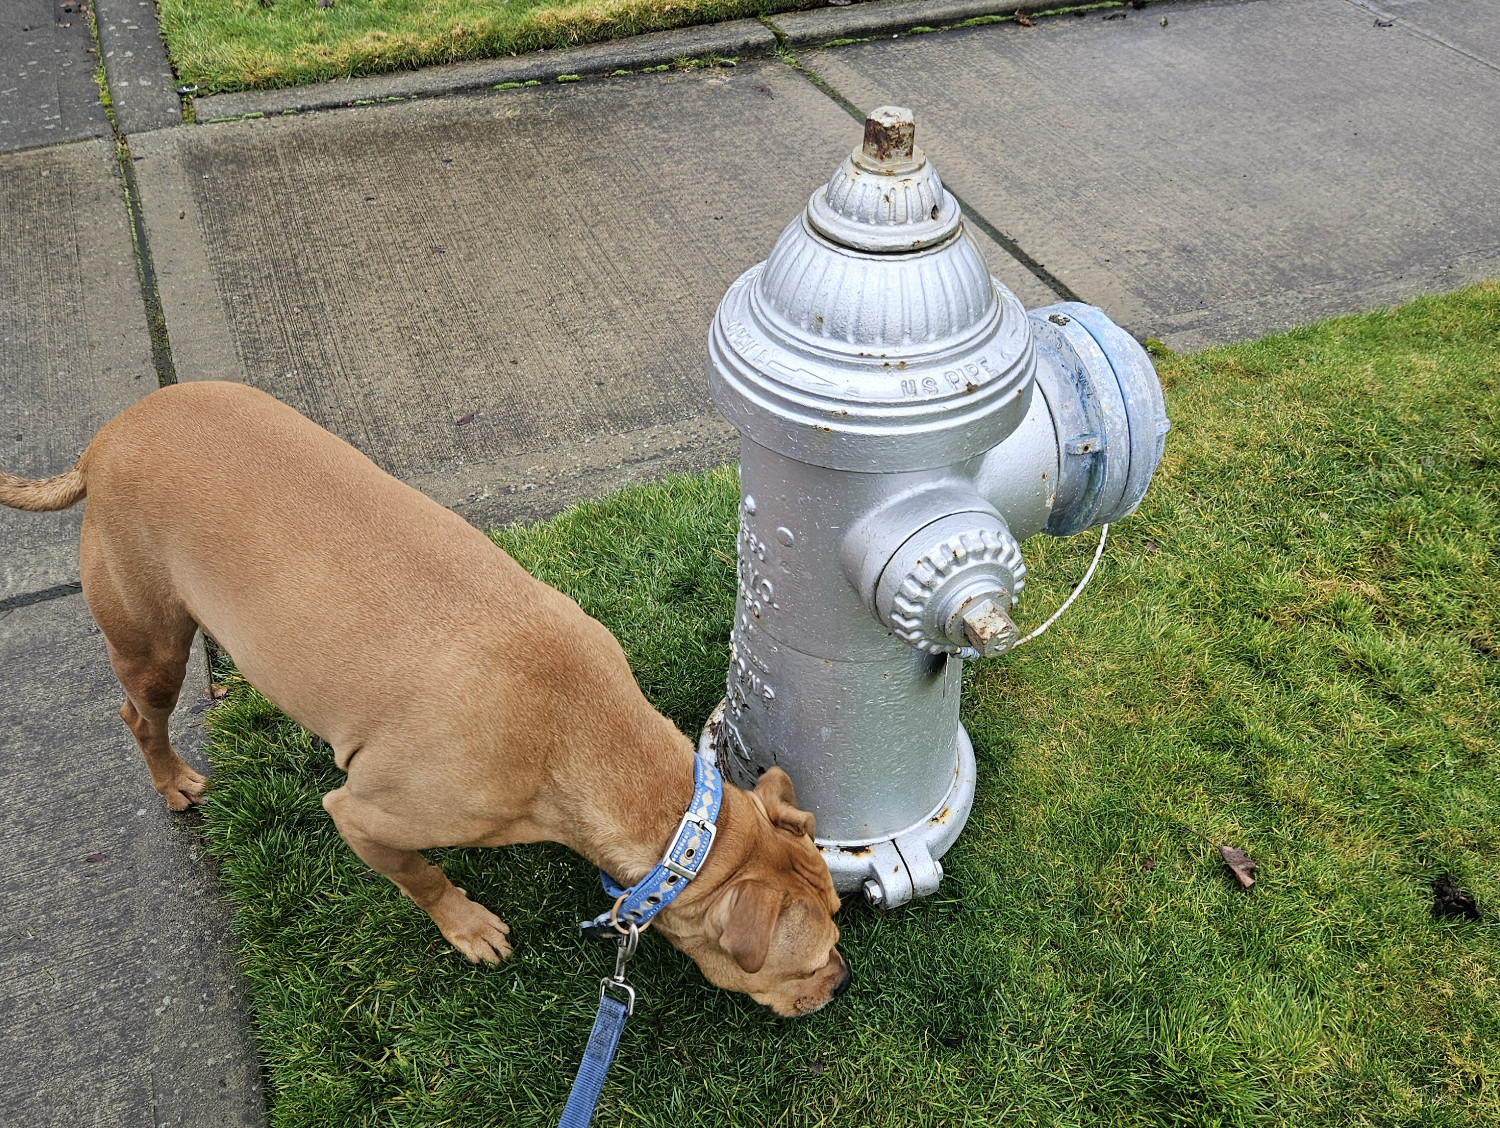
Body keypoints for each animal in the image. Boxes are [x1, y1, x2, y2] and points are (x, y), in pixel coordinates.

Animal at [0, 384, 852, 1020]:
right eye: (809, 961)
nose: (842, 981)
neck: (580, 735)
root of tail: (104, 438)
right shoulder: (365, 815)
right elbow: (419, 875)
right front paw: (466, 925)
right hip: (152, 644)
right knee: (138, 714)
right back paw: (172, 778)